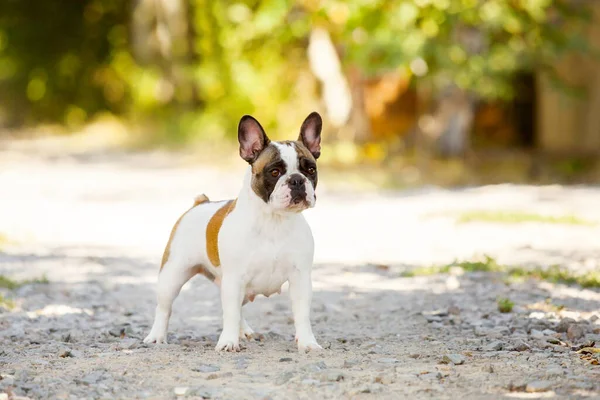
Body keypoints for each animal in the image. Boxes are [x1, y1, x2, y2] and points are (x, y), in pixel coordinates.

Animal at [144, 111, 324, 352]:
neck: (273, 220)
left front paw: (307, 342)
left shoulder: (300, 278)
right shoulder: (235, 278)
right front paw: (228, 342)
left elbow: (302, 314)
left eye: (310, 170)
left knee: (239, 309)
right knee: (164, 307)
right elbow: (229, 313)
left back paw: (244, 331)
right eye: (274, 172)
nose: (296, 180)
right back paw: (157, 336)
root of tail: (200, 203)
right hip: (173, 274)